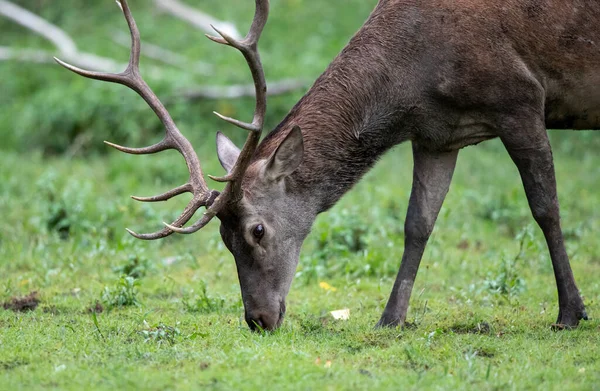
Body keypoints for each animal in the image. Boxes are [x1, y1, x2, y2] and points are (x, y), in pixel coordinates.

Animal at [56, 0, 596, 330]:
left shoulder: (521, 98)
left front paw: (570, 311)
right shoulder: (437, 135)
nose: (257, 320)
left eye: (257, 230)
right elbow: (417, 223)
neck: (413, 78)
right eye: (223, 239)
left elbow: (546, 209)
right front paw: (391, 318)